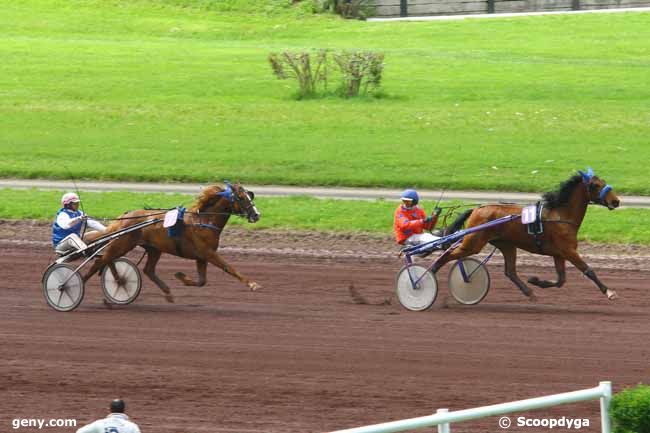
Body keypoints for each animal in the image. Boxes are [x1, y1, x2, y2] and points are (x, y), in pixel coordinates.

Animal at [82, 181, 260, 302]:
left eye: (250, 195)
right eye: (241, 198)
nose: (256, 215)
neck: (204, 220)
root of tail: (125, 216)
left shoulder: (201, 257)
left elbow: (202, 281)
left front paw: (181, 277)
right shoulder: (208, 253)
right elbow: (229, 268)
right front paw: (252, 284)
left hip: (154, 248)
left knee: (148, 270)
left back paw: (167, 292)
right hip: (122, 244)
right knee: (99, 262)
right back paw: (78, 284)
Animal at [436, 169, 616, 300]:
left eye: (604, 182)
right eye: (595, 185)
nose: (616, 201)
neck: (561, 216)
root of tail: (477, 208)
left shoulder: (559, 254)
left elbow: (561, 280)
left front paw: (536, 281)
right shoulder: (568, 251)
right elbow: (588, 270)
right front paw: (609, 292)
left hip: (506, 245)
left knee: (510, 271)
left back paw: (529, 292)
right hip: (473, 243)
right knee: (447, 255)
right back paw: (431, 274)